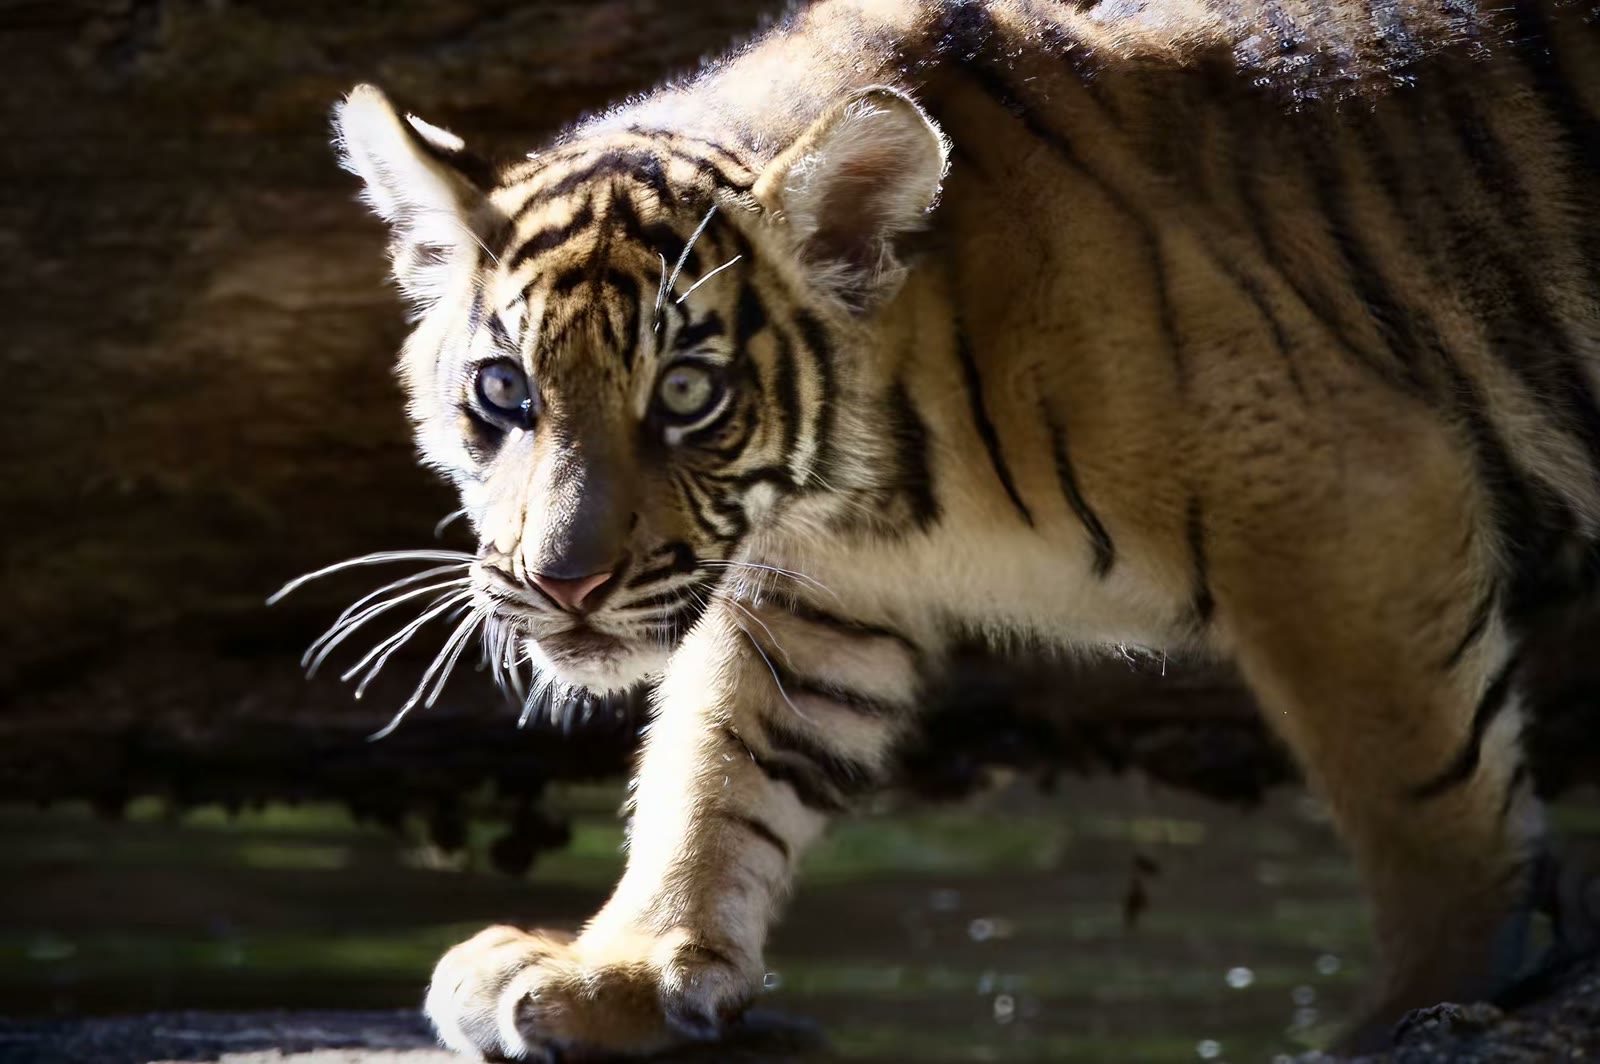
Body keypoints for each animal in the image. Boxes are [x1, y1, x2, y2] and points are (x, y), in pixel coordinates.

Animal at [321, 0, 1600, 1057]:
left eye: (686, 393)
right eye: (504, 392)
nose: (564, 583)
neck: (865, 477)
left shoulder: (1343, 493)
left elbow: (1423, 800)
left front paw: (1418, 1009)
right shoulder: (817, 590)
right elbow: (720, 773)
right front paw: (619, 970)